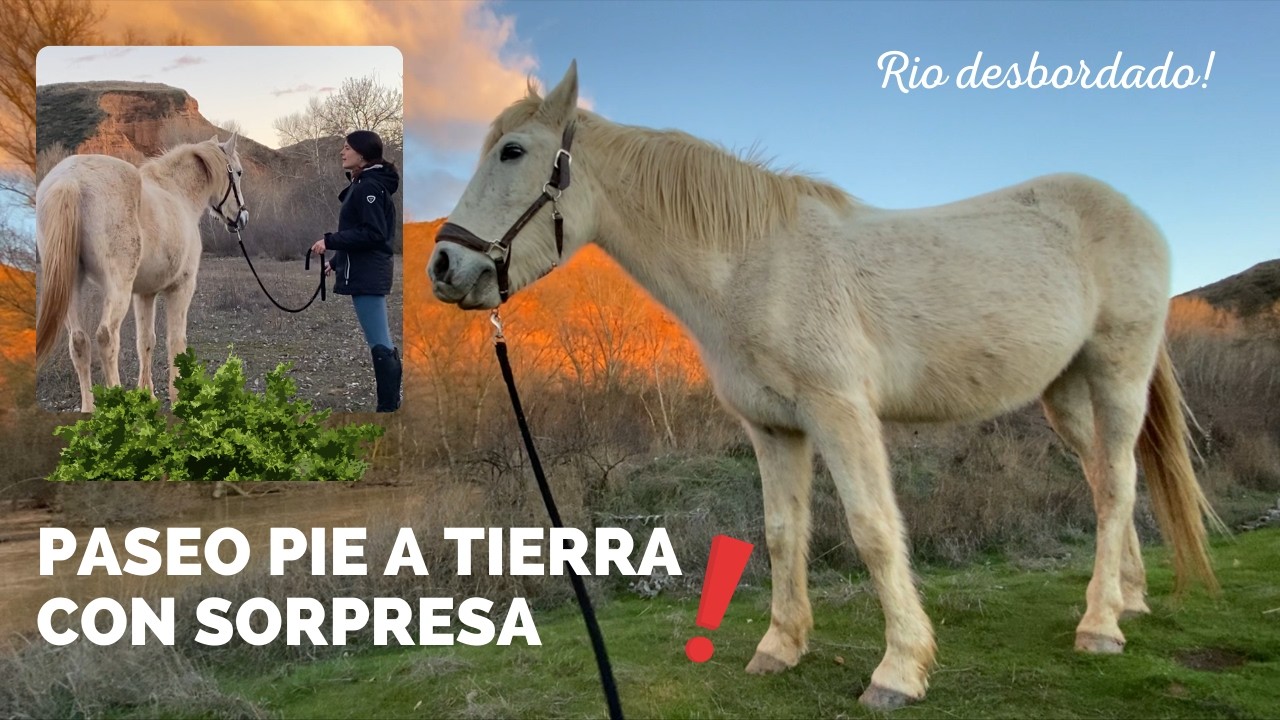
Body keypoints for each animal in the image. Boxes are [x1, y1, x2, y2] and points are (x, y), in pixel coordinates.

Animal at [35, 134, 248, 412]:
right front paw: (178, 397)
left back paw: (89, 409)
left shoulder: (144, 294)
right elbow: (175, 341)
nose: (242, 218)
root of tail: (69, 180)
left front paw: (148, 395)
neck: (178, 194)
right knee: (106, 338)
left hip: (72, 286)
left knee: (79, 342)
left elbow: (146, 341)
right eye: (239, 173)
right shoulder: (181, 288)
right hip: (118, 289)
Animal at [427, 61, 1225, 710]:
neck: (755, 263)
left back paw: (1099, 626)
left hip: (1118, 374)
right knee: (1105, 481)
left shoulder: (841, 414)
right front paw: (780, 647)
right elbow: (783, 533)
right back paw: (1126, 600)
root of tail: (1132, 214)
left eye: (513, 151)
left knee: (1117, 484)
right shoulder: (774, 428)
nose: (443, 265)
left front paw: (899, 671)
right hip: (1064, 392)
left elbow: (874, 530)